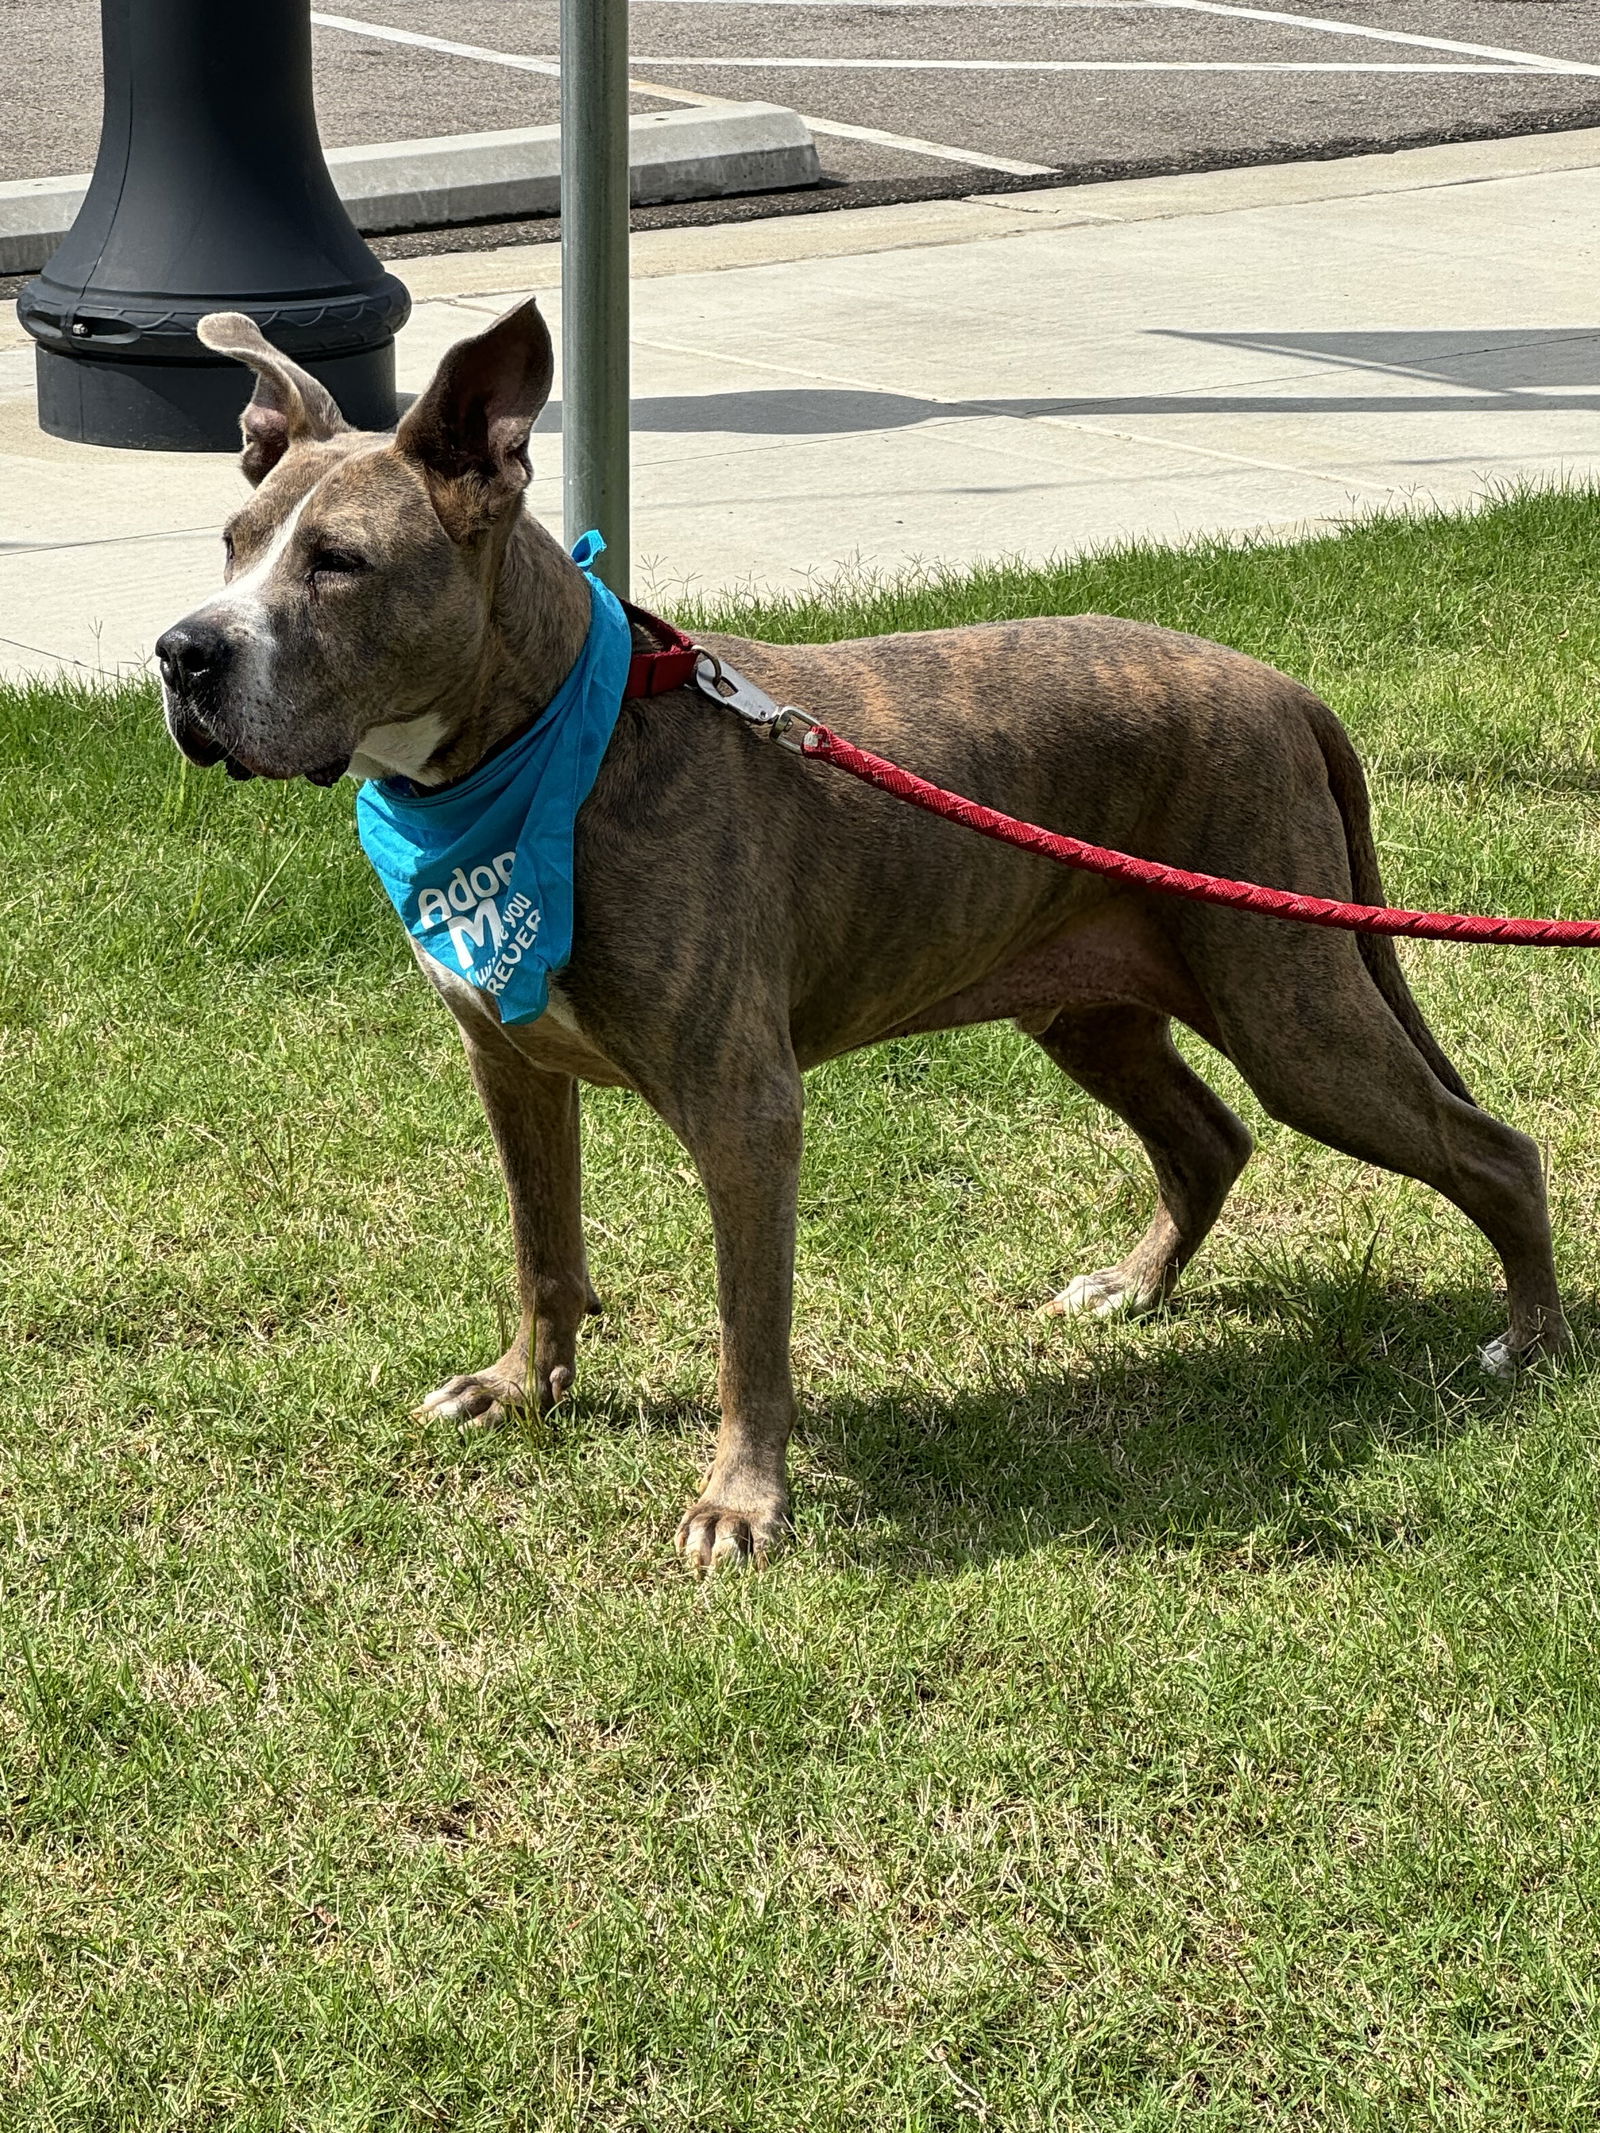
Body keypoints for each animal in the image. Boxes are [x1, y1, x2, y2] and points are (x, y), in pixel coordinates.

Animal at [160, 296, 1570, 1569]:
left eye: (339, 563)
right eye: (231, 542)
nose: (182, 653)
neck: (554, 738)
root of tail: (1286, 691)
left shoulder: (744, 1108)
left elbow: (750, 1328)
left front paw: (740, 1505)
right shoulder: (508, 1063)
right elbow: (541, 1246)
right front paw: (519, 1387)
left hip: (1292, 1008)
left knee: (1493, 1150)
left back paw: (1534, 1343)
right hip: (1094, 1006)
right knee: (1208, 1139)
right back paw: (1134, 1286)